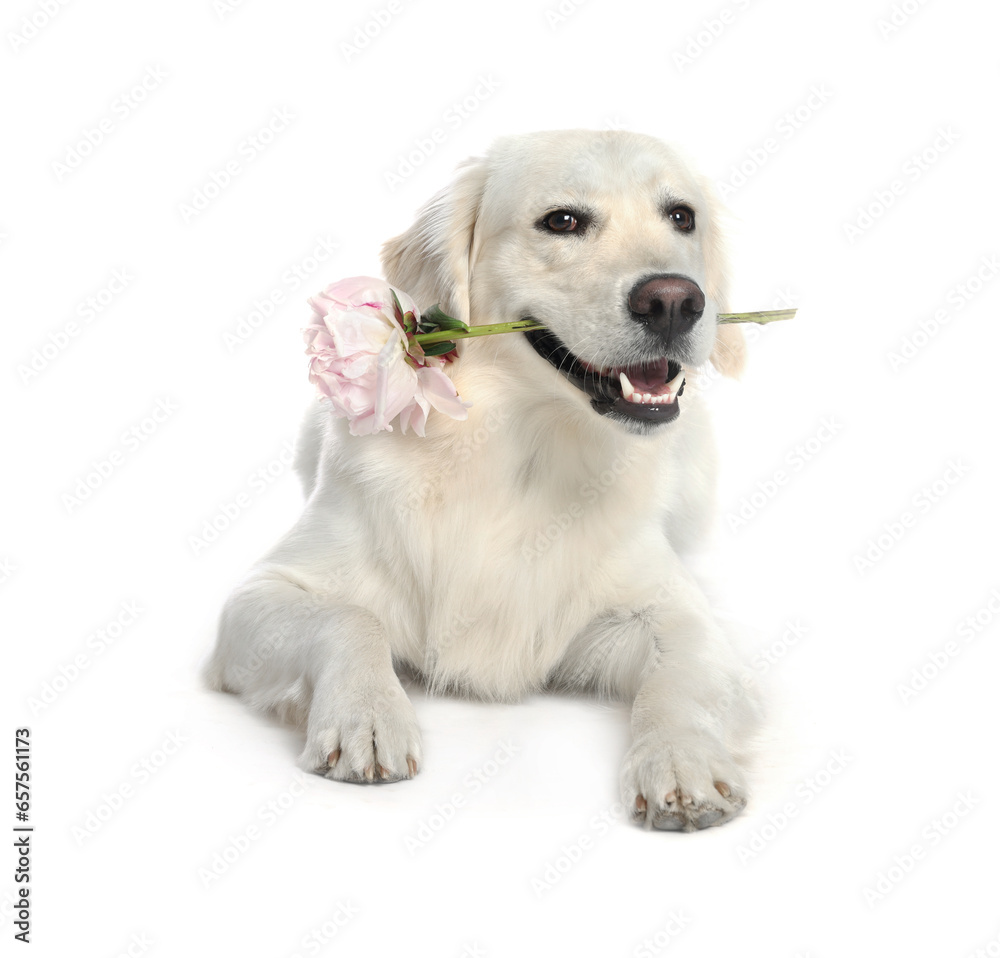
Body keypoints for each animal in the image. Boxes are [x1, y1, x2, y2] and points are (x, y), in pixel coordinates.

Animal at [207, 129, 760, 832]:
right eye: (562, 221)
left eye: (682, 216)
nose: (674, 301)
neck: (517, 452)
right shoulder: (259, 597)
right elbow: (350, 619)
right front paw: (366, 715)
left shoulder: (677, 613)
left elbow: (680, 676)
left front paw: (681, 762)